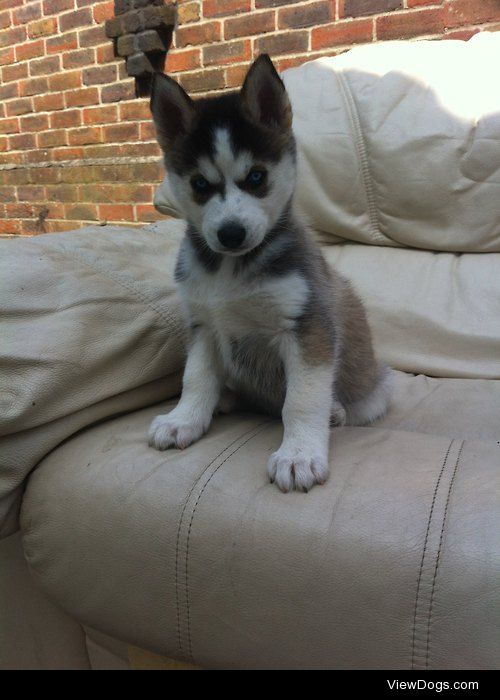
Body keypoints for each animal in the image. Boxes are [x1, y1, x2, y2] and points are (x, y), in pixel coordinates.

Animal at [148, 54, 390, 492]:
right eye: (200, 184)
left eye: (257, 176)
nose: (230, 233)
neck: (230, 270)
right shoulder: (204, 326)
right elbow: (196, 378)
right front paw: (183, 420)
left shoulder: (307, 327)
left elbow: (302, 400)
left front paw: (299, 456)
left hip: (373, 391)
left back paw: (336, 412)